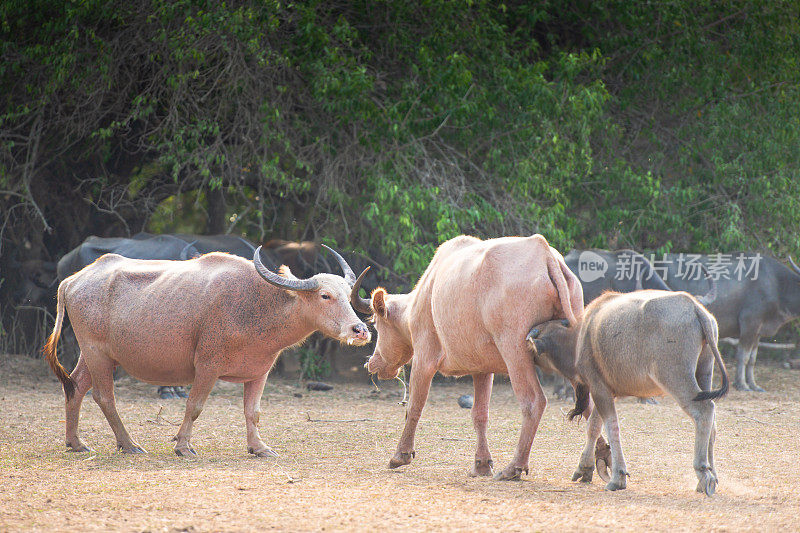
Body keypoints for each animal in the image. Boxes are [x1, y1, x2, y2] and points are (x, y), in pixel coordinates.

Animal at [43, 243, 368, 456]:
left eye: (348, 296)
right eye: (325, 295)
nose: (360, 330)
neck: (256, 305)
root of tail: (72, 280)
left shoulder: (259, 372)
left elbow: (253, 411)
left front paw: (259, 447)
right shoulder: (207, 366)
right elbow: (195, 406)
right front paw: (183, 446)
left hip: (96, 356)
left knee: (75, 387)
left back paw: (76, 443)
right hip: (96, 353)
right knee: (103, 396)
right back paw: (129, 444)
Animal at [354, 233, 584, 478]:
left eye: (375, 323)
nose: (372, 363)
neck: (427, 293)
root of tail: (545, 254)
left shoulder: (424, 359)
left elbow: (414, 406)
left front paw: (401, 455)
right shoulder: (482, 370)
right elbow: (479, 414)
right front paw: (482, 463)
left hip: (515, 354)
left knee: (534, 402)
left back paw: (515, 466)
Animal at [524, 274, 724, 494]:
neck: (582, 335)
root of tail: (695, 308)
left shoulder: (599, 389)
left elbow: (611, 427)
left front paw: (618, 477)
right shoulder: (604, 390)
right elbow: (594, 426)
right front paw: (584, 467)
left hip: (676, 379)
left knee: (703, 411)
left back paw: (703, 473)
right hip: (704, 374)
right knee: (712, 420)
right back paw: (712, 473)